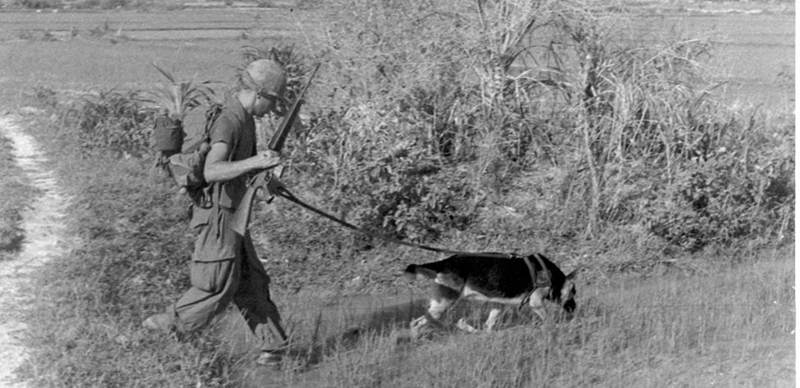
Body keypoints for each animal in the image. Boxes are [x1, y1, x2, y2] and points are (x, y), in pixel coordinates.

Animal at [406, 252, 576, 336]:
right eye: (574, 293)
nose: (575, 310)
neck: (553, 277)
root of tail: (445, 262)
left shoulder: (499, 305)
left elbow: (490, 324)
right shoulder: (537, 303)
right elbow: (550, 320)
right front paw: (558, 328)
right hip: (443, 304)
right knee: (415, 323)